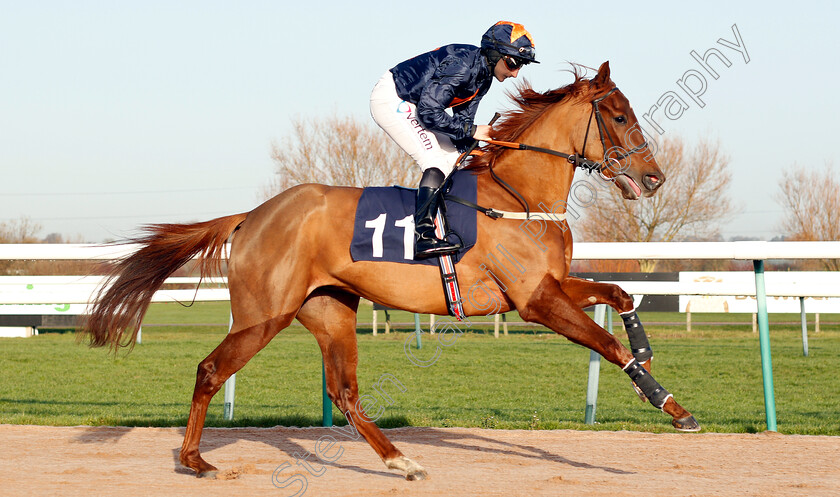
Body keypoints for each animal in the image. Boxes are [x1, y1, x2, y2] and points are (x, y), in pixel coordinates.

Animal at [87, 62, 704, 480]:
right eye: (619, 116)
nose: (654, 179)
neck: (520, 196)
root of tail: (252, 216)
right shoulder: (535, 301)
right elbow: (607, 343)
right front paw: (670, 405)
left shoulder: (548, 288)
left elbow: (621, 296)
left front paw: (653, 365)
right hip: (265, 314)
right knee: (212, 369)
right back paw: (194, 460)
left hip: (330, 310)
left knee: (345, 392)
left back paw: (400, 460)